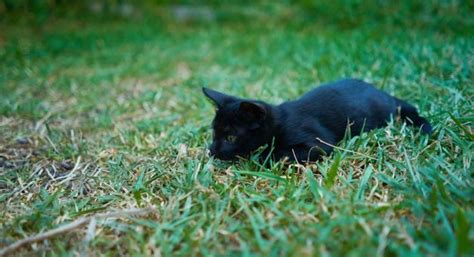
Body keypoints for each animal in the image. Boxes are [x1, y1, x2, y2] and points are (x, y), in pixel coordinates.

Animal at [202, 78, 432, 162]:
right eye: (214, 133)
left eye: (231, 138)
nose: (212, 151)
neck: (281, 121)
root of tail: (383, 94)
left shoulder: (318, 143)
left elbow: (280, 152)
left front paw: (261, 156)